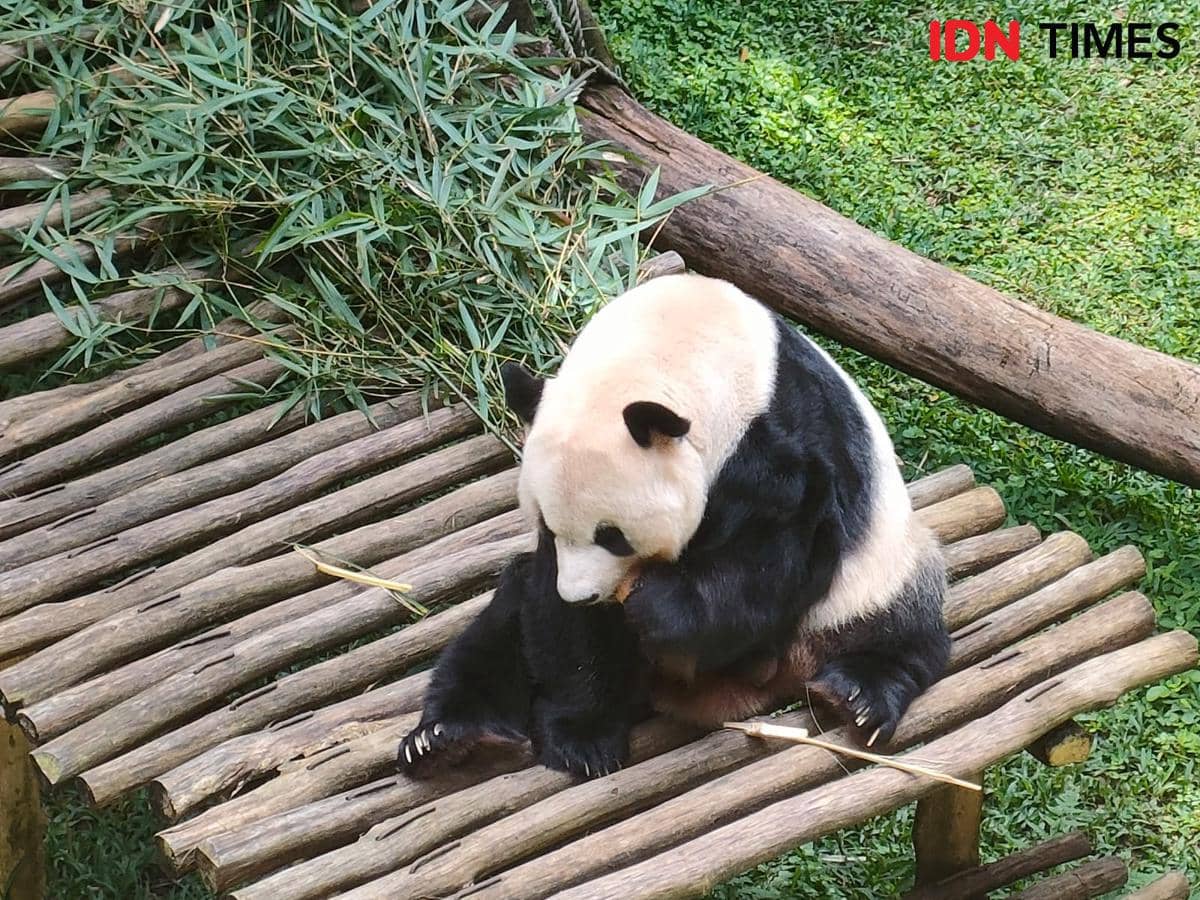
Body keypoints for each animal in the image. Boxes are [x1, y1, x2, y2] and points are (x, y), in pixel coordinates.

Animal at [398, 273, 950, 779]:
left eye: (612, 536)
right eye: (550, 528)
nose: (582, 595)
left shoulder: (784, 450)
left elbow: (772, 563)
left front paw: (660, 607)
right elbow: (566, 624)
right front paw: (582, 737)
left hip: (870, 575)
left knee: (901, 621)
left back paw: (860, 693)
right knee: (502, 623)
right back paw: (450, 738)